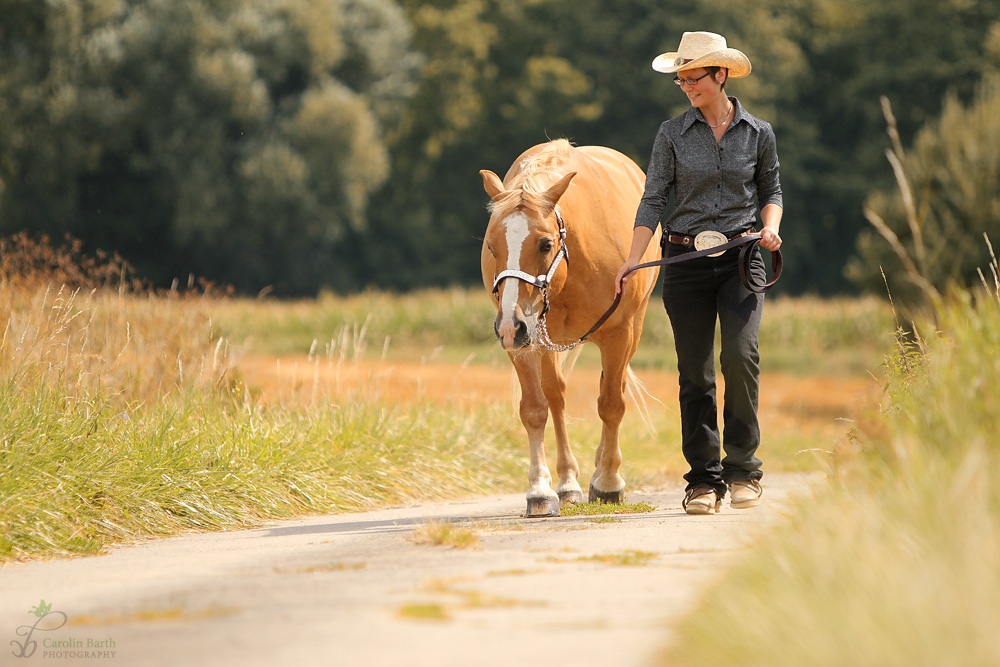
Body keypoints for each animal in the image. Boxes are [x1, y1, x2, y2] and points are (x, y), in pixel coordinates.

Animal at [478, 140, 660, 516]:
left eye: (545, 244)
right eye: (491, 246)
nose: (509, 325)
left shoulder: (619, 334)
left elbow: (611, 404)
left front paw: (609, 483)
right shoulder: (524, 341)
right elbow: (535, 409)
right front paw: (540, 490)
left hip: (630, 331)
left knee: (612, 391)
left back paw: (600, 470)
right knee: (557, 397)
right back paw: (568, 482)